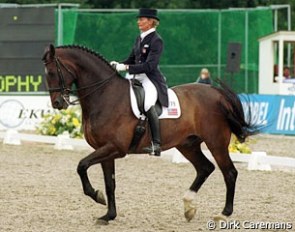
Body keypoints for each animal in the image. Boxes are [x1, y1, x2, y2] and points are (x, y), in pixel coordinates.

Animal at [41, 44, 256, 224]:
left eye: (51, 72)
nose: (58, 103)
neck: (105, 95)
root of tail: (217, 93)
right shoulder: (105, 150)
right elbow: (110, 183)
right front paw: (108, 215)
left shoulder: (115, 148)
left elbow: (82, 165)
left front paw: (97, 196)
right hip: (188, 144)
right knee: (205, 168)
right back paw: (188, 207)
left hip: (216, 142)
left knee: (229, 172)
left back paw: (223, 214)